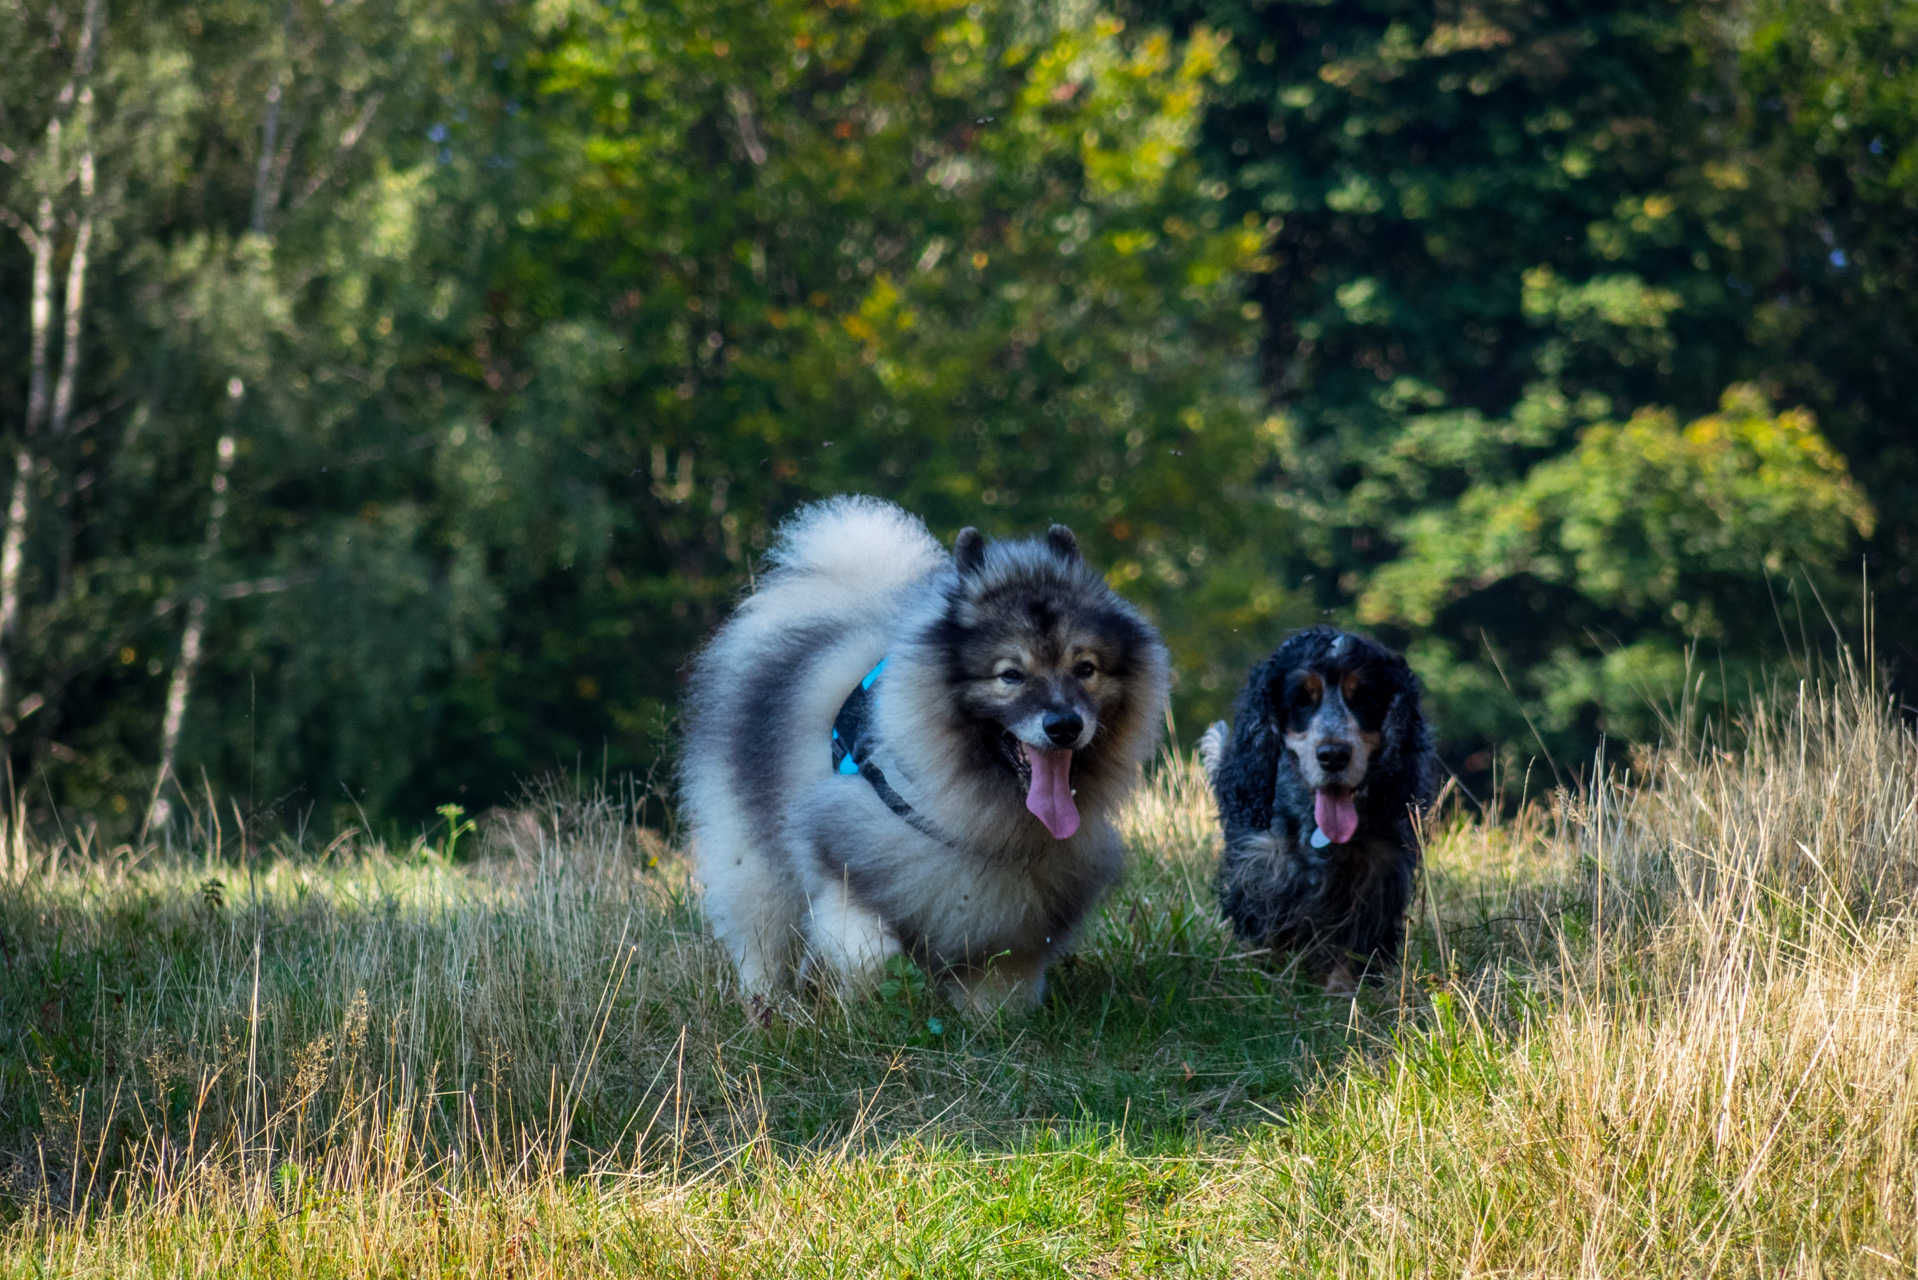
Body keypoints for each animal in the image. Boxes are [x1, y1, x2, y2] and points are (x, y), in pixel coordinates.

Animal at [682, 495, 1173, 1013]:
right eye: (1011, 675)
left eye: (1086, 669)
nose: (1064, 726)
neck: (985, 819)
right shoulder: (845, 853)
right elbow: (868, 954)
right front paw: (876, 1002)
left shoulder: (1011, 917)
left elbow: (999, 985)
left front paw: (989, 1020)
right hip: (752, 858)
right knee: (762, 934)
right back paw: (765, 1001)